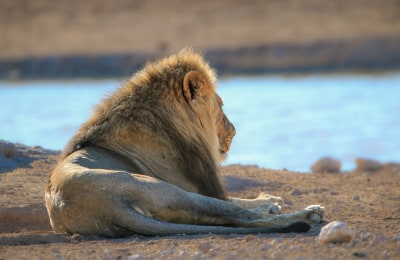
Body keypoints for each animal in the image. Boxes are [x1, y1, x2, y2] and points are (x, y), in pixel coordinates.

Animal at [45, 49, 324, 238]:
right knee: (244, 218)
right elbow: (236, 202)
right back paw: (309, 213)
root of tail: (108, 207)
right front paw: (270, 203)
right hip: (173, 191)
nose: (234, 130)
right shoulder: (196, 188)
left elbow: (238, 200)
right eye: (220, 105)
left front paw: (268, 199)